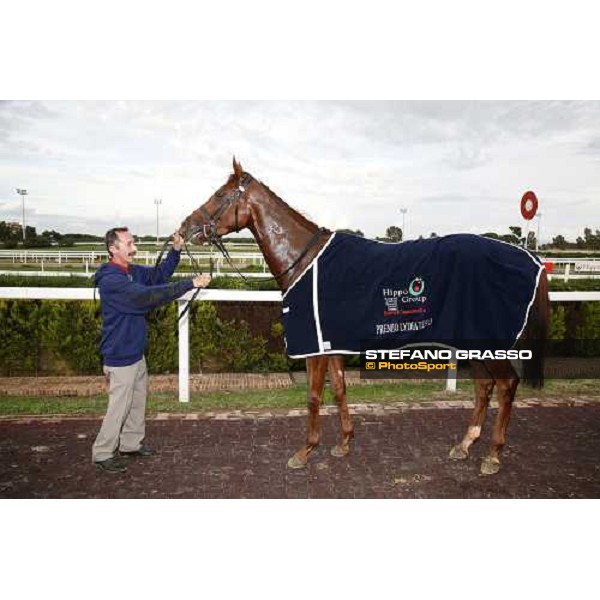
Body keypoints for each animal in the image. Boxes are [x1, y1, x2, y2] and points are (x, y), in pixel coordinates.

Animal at [180, 157, 552, 476]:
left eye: (220, 194)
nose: (184, 228)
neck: (304, 261)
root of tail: (531, 260)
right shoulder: (331, 344)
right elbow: (339, 390)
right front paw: (344, 443)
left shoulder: (314, 346)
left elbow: (313, 397)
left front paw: (305, 451)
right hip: (472, 340)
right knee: (484, 386)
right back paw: (464, 445)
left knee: (506, 385)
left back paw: (492, 455)